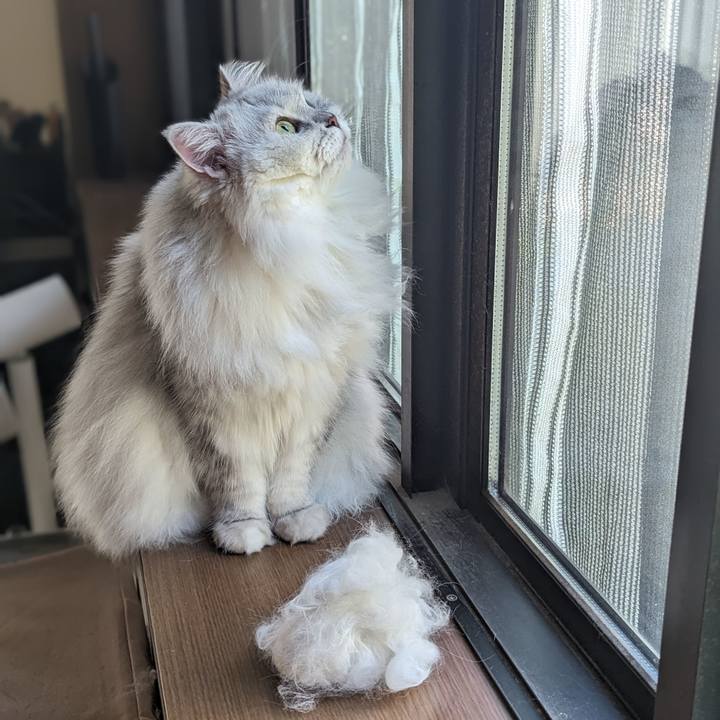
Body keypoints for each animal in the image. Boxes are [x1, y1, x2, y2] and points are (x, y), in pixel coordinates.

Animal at [52, 61, 398, 559]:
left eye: (311, 102)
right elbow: (238, 485)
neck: (288, 243)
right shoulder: (215, 411)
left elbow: (292, 478)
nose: (332, 118)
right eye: (286, 128)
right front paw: (245, 533)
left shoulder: (313, 396)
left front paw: (295, 520)